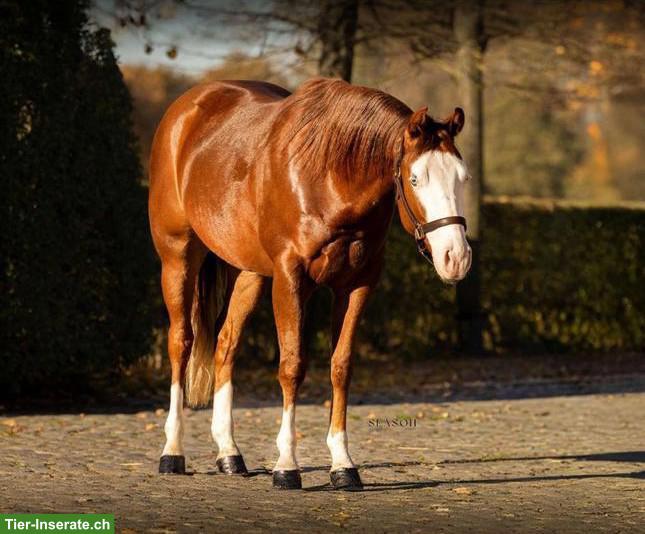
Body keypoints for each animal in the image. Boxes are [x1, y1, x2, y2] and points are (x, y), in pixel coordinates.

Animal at [148, 77, 472, 490]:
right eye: (416, 178)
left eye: (463, 178)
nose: (455, 257)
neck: (328, 178)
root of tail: (186, 109)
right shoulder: (290, 278)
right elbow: (292, 366)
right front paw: (286, 465)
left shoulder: (357, 284)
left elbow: (341, 367)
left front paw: (343, 464)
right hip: (178, 257)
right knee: (181, 342)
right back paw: (172, 451)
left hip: (249, 273)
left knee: (225, 345)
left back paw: (229, 453)